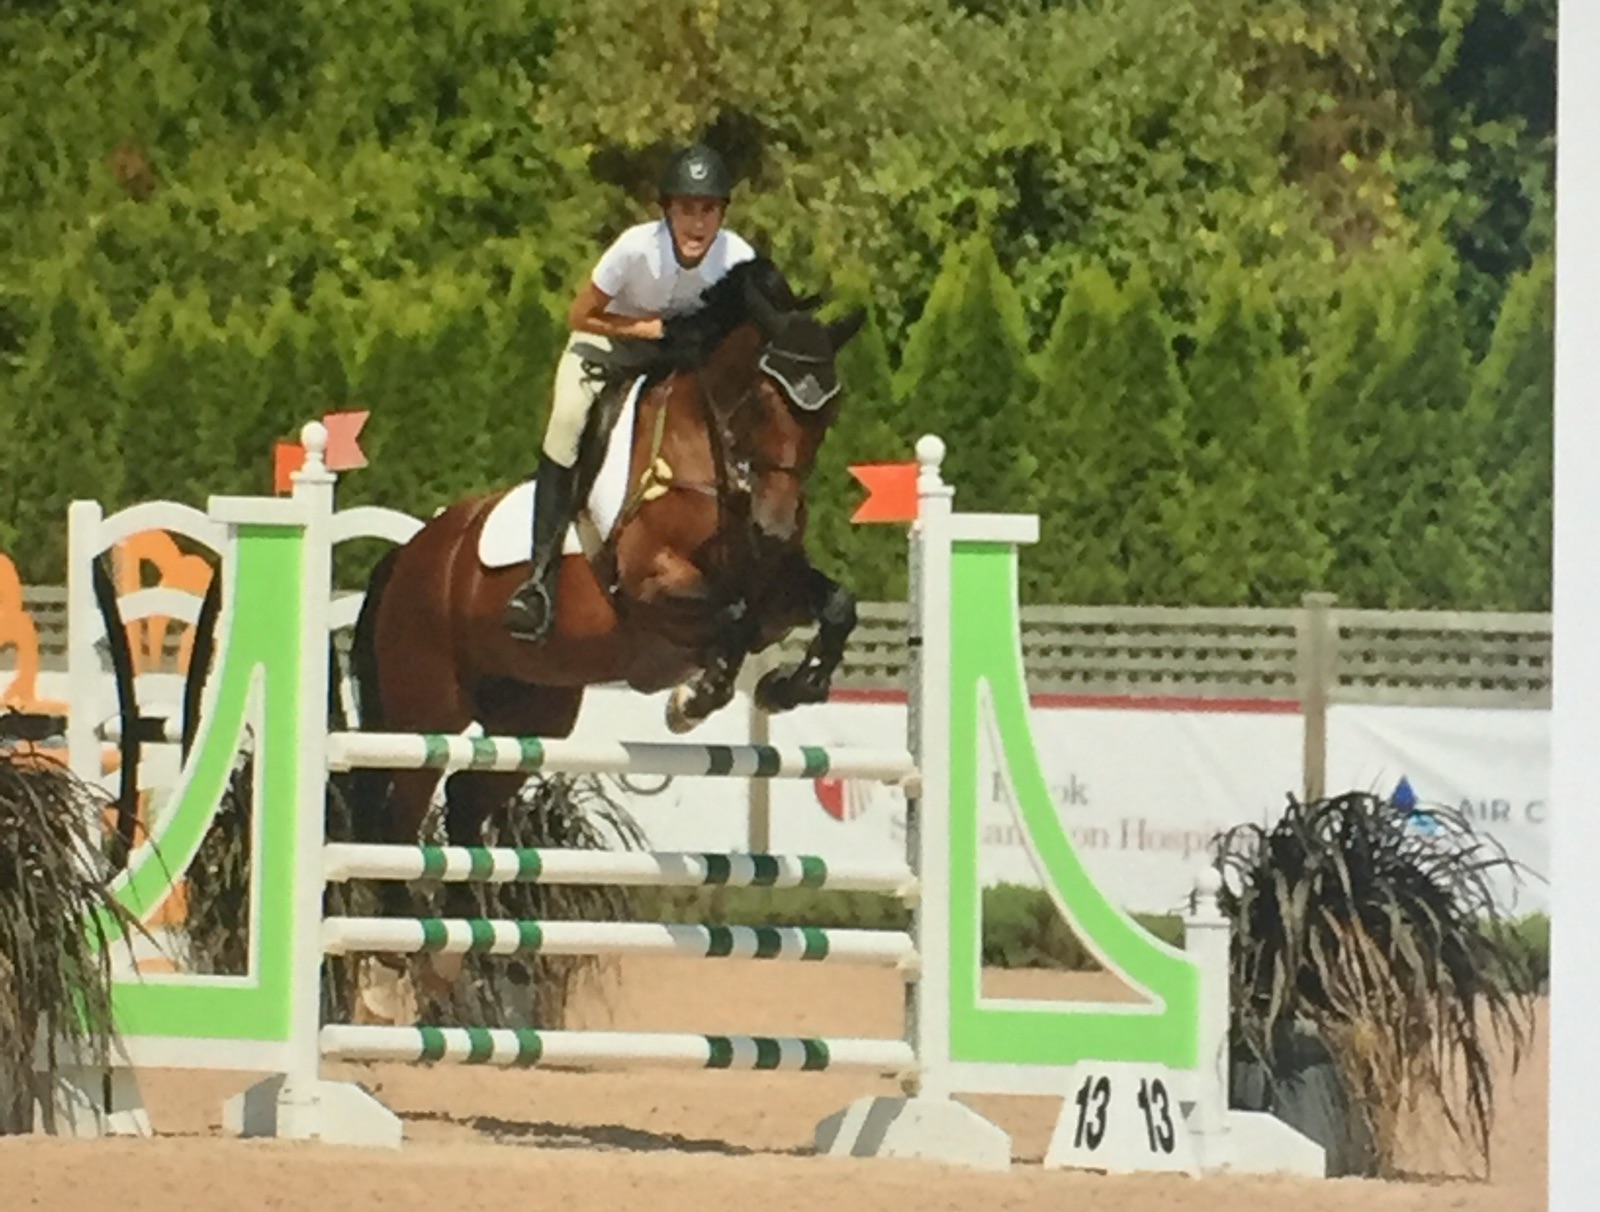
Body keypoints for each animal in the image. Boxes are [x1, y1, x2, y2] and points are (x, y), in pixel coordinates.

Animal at [340, 256, 866, 960]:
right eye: (761, 398)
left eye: (829, 411)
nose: (777, 526)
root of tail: (407, 558)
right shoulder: (649, 588)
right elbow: (731, 617)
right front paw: (693, 699)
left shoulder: (777, 587)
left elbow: (834, 606)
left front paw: (790, 685)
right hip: (425, 714)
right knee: (401, 813)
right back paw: (404, 930)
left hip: (531, 717)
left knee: (466, 800)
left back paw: (475, 940)